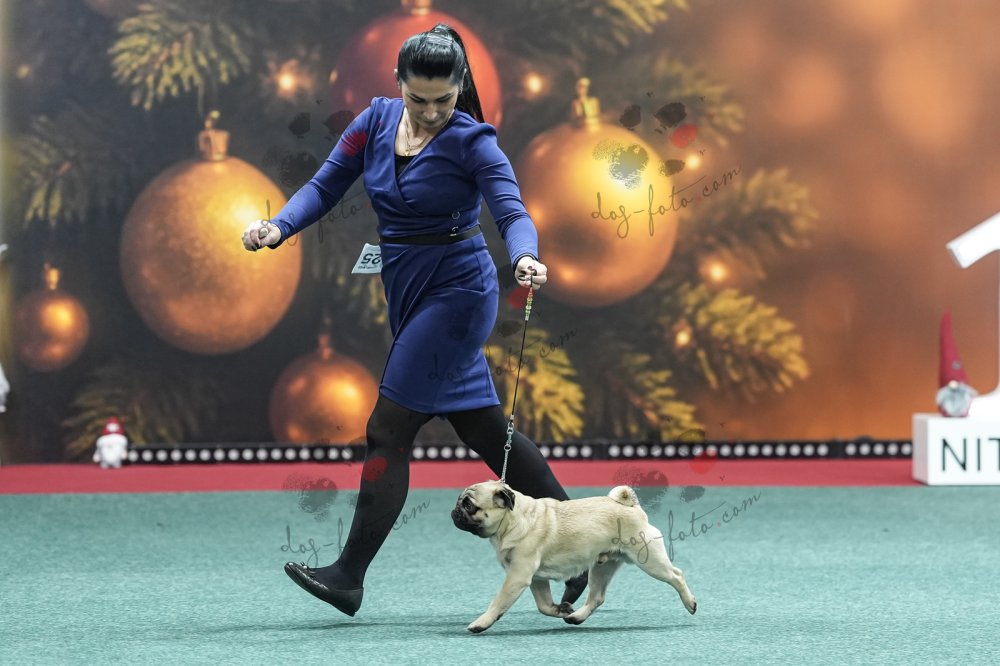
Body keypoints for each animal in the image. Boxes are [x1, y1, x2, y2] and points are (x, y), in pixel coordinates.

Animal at [451, 480, 697, 633]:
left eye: (469, 505)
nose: (454, 511)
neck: (513, 520)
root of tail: (631, 506)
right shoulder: (535, 579)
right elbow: (543, 605)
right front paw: (560, 609)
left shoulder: (517, 576)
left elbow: (498, 602)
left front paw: (481, 623)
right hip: (602, 567)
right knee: (597, 597)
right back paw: (576, 616)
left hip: (649, 560)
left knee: (677, 575)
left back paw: (690, 603)